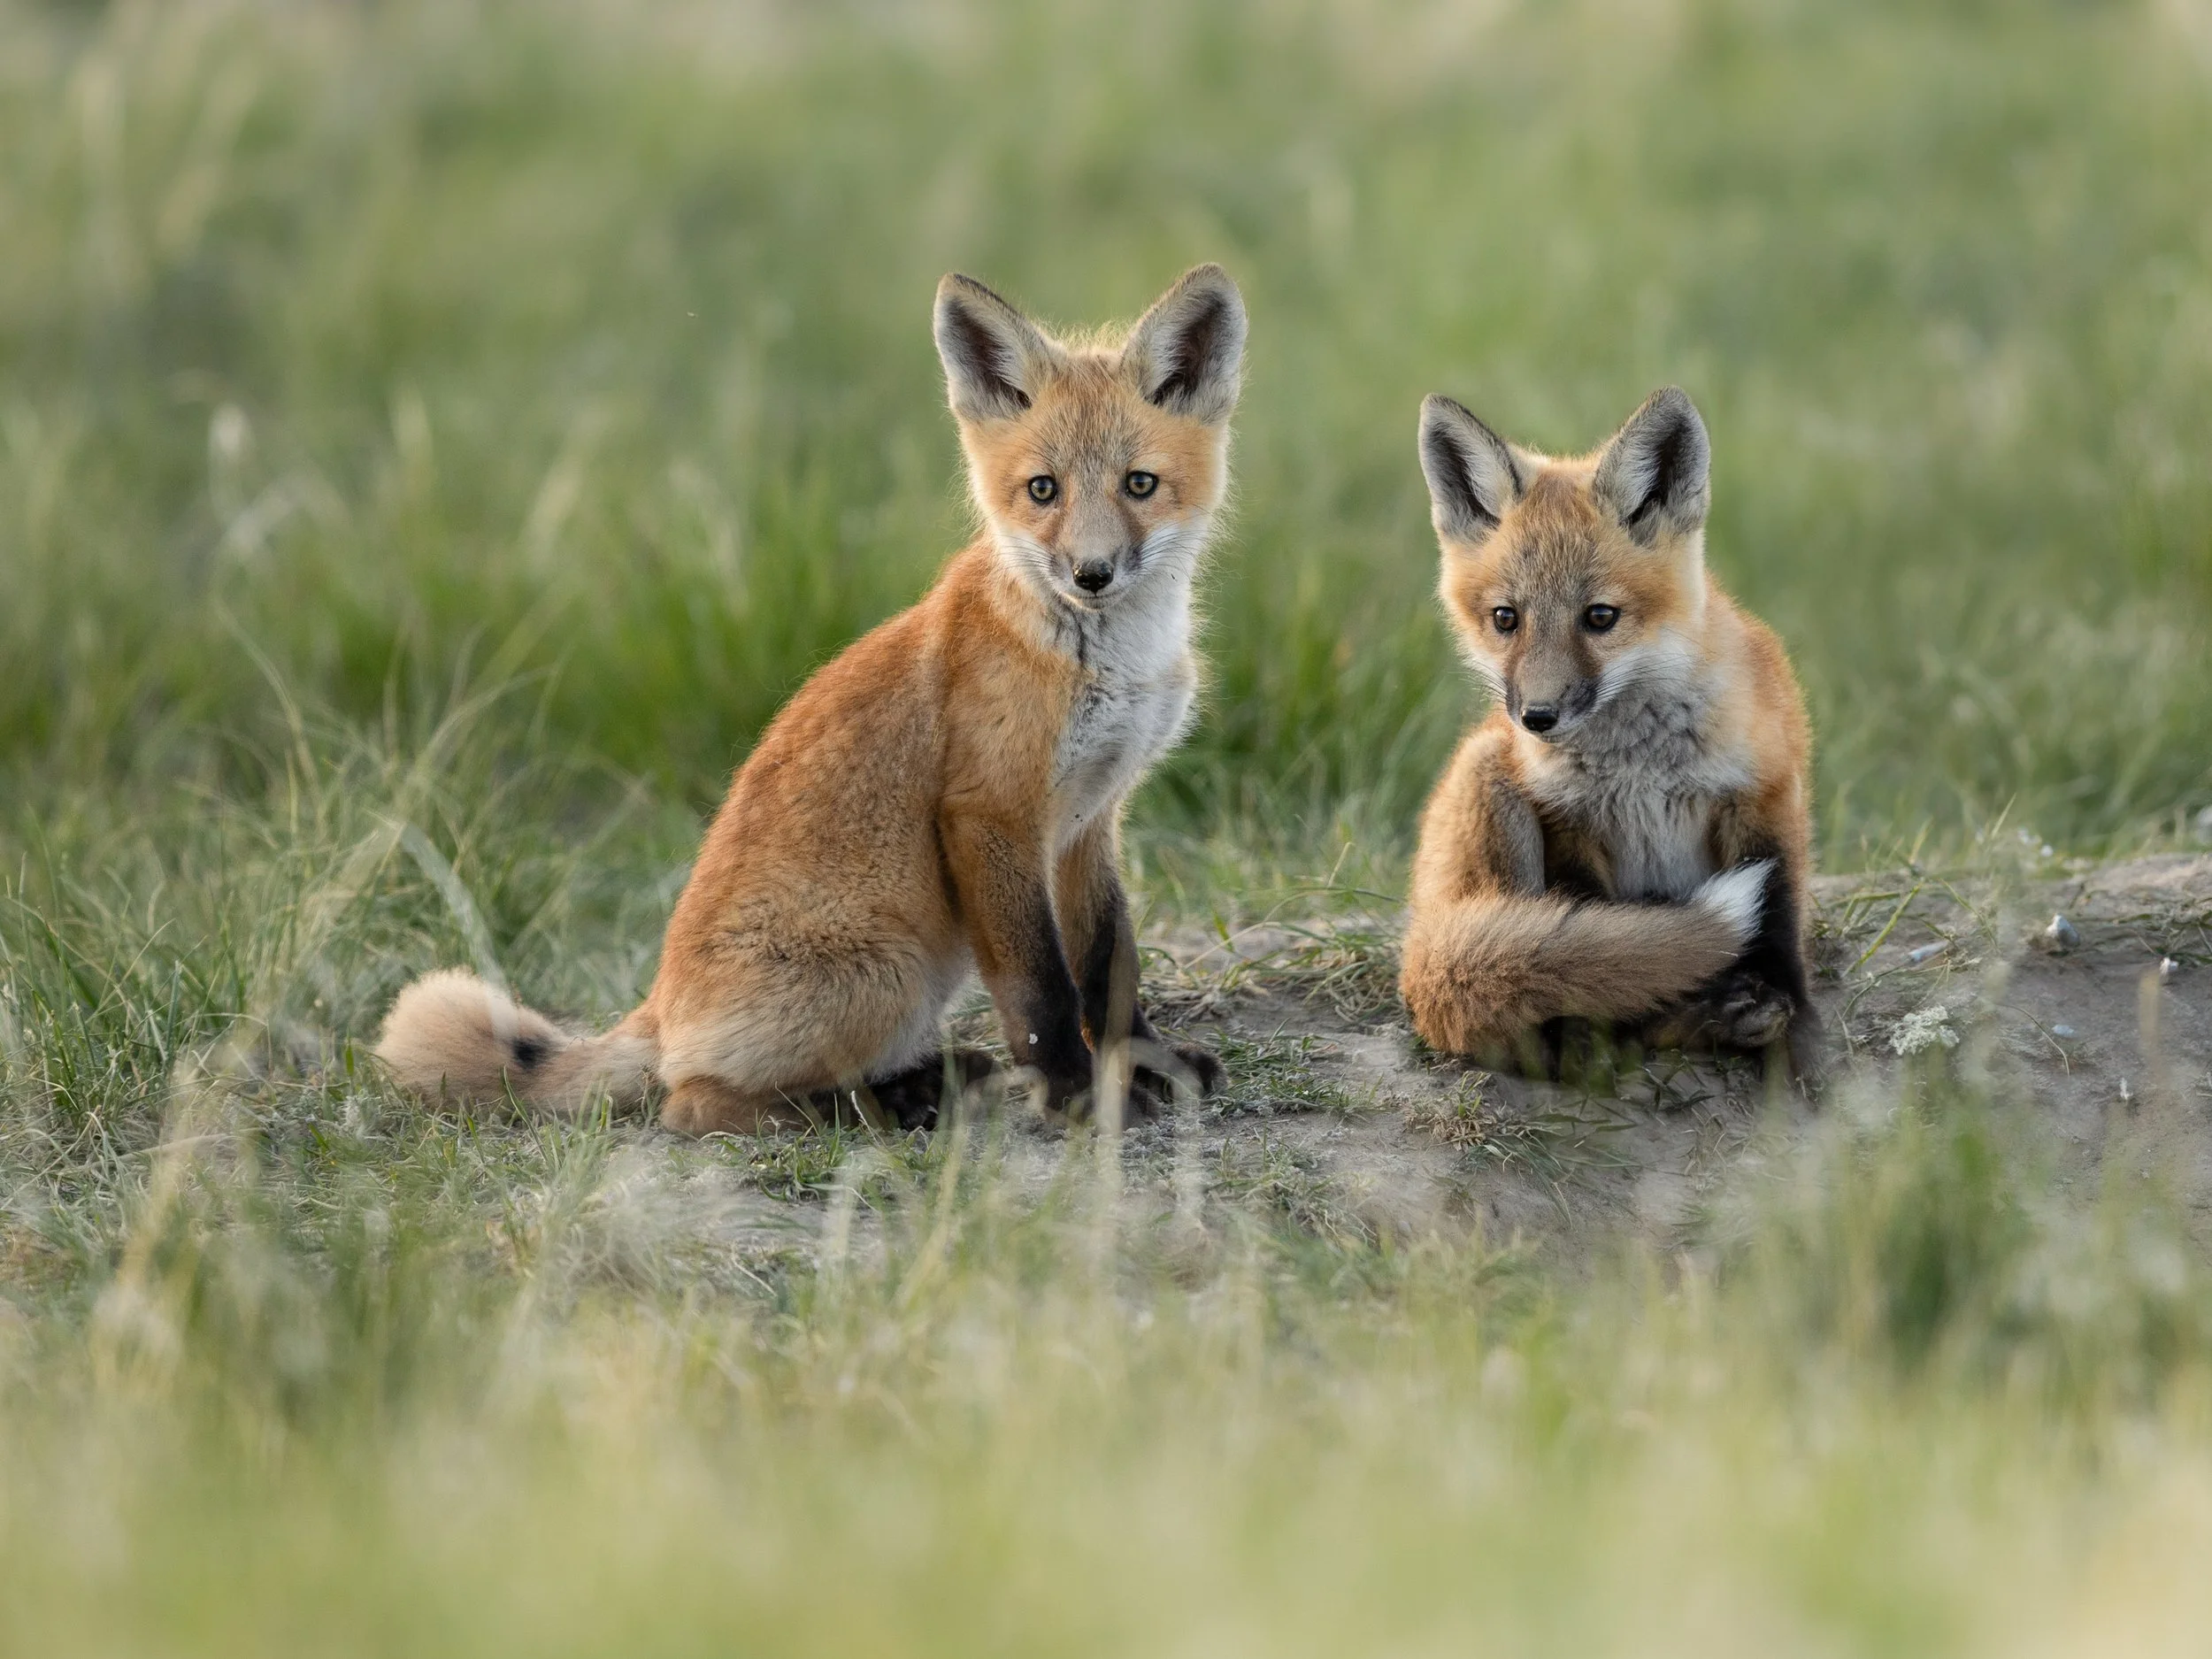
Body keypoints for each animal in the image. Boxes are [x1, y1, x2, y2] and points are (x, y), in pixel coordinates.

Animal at [376, 265, 1245, 1133]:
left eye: (1140, 484)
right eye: (1043, 490)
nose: (1091, 574)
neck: (1112, 665)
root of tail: (658, 1009)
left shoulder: (1089, 818)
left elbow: (1108, 963)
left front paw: (1144, 1062)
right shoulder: (990, 813)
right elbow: (1041, 990)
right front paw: (1076, 1092)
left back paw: (934, 1079)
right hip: (889, 974)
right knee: (697, 1105)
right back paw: (890, 1103)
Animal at [1397, 386, 1820, 1079]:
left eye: (1600, 617)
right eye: (1506, 619)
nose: (1538, 717)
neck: (1638, 764)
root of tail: (1415, 955)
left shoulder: (1764, 793)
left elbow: (1779, 919)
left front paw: (1796, 1035)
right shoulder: (1568, 818)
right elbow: (1584, 936)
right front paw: (1587, 1036)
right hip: (1488, 775)